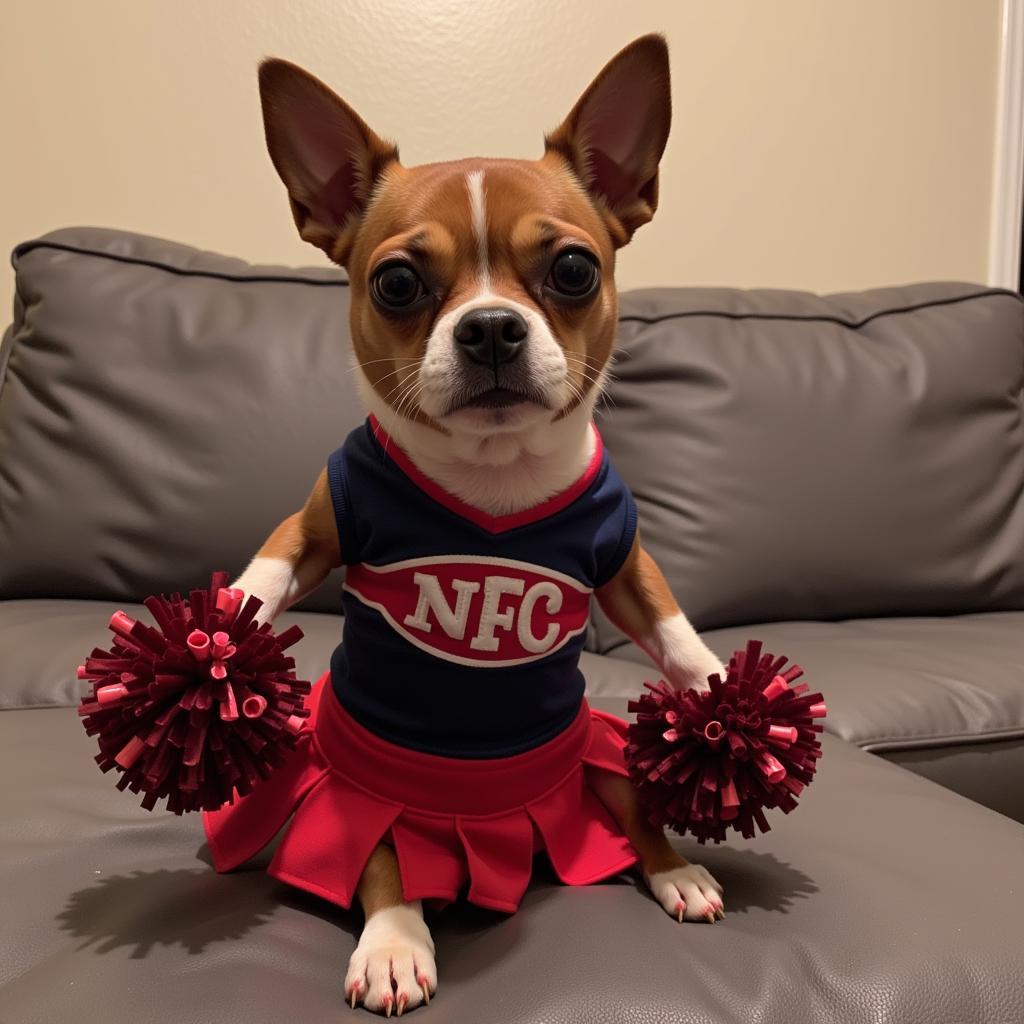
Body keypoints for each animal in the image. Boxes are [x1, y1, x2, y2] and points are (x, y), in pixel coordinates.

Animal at [230, 32, 729, 1015]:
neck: (495, 472)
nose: (492, 326)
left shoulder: (622, 562)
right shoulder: (322, 522)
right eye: (396, 283)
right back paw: (394, 943)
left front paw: (723, 691)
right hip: (369, 785)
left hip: (598, 761)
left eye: (573, 269)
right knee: (385, 857)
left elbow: (672, 627)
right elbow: (266, 575)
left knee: (630, 807)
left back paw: (676, 871)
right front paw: (210, 639)